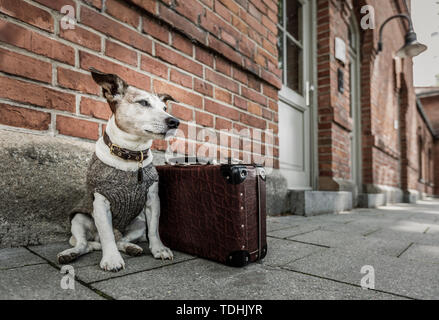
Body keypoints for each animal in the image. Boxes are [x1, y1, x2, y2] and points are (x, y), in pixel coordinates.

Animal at [57, 69, 180, 272]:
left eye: (164, 107)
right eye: (143, 103)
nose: (175, 122)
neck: (131, 154)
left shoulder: (153, 200)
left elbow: (154, 230)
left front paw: (159, 250)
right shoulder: (100, 203)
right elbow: (107, 235)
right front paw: (112, 259)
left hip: (138, 223)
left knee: (121, 241)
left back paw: (131, 248)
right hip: (79, 220)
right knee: (85, 244)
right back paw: (70, 254)